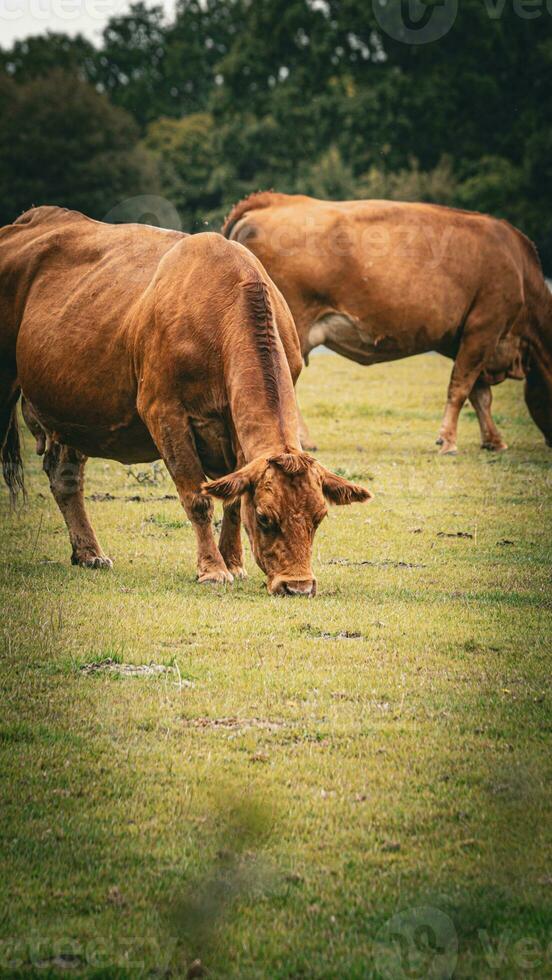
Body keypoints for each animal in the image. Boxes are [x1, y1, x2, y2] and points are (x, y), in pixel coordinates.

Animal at [1, 203, 370, 592]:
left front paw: (234, 562)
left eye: (319, 517)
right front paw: (212, 568)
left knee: (66, 477)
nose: (298, 585)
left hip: (74, 413)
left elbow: (231, 499)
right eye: (265, 518)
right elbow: (197, 497)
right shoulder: (165, 415)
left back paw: (88, 553)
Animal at [221, 193, 552, 458]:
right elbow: (460, 389)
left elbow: (479, 395)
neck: (520, 270)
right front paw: (448, 442)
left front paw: (493, 441)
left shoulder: (473, 340)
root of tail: (273, 200)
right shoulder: (483, 330)